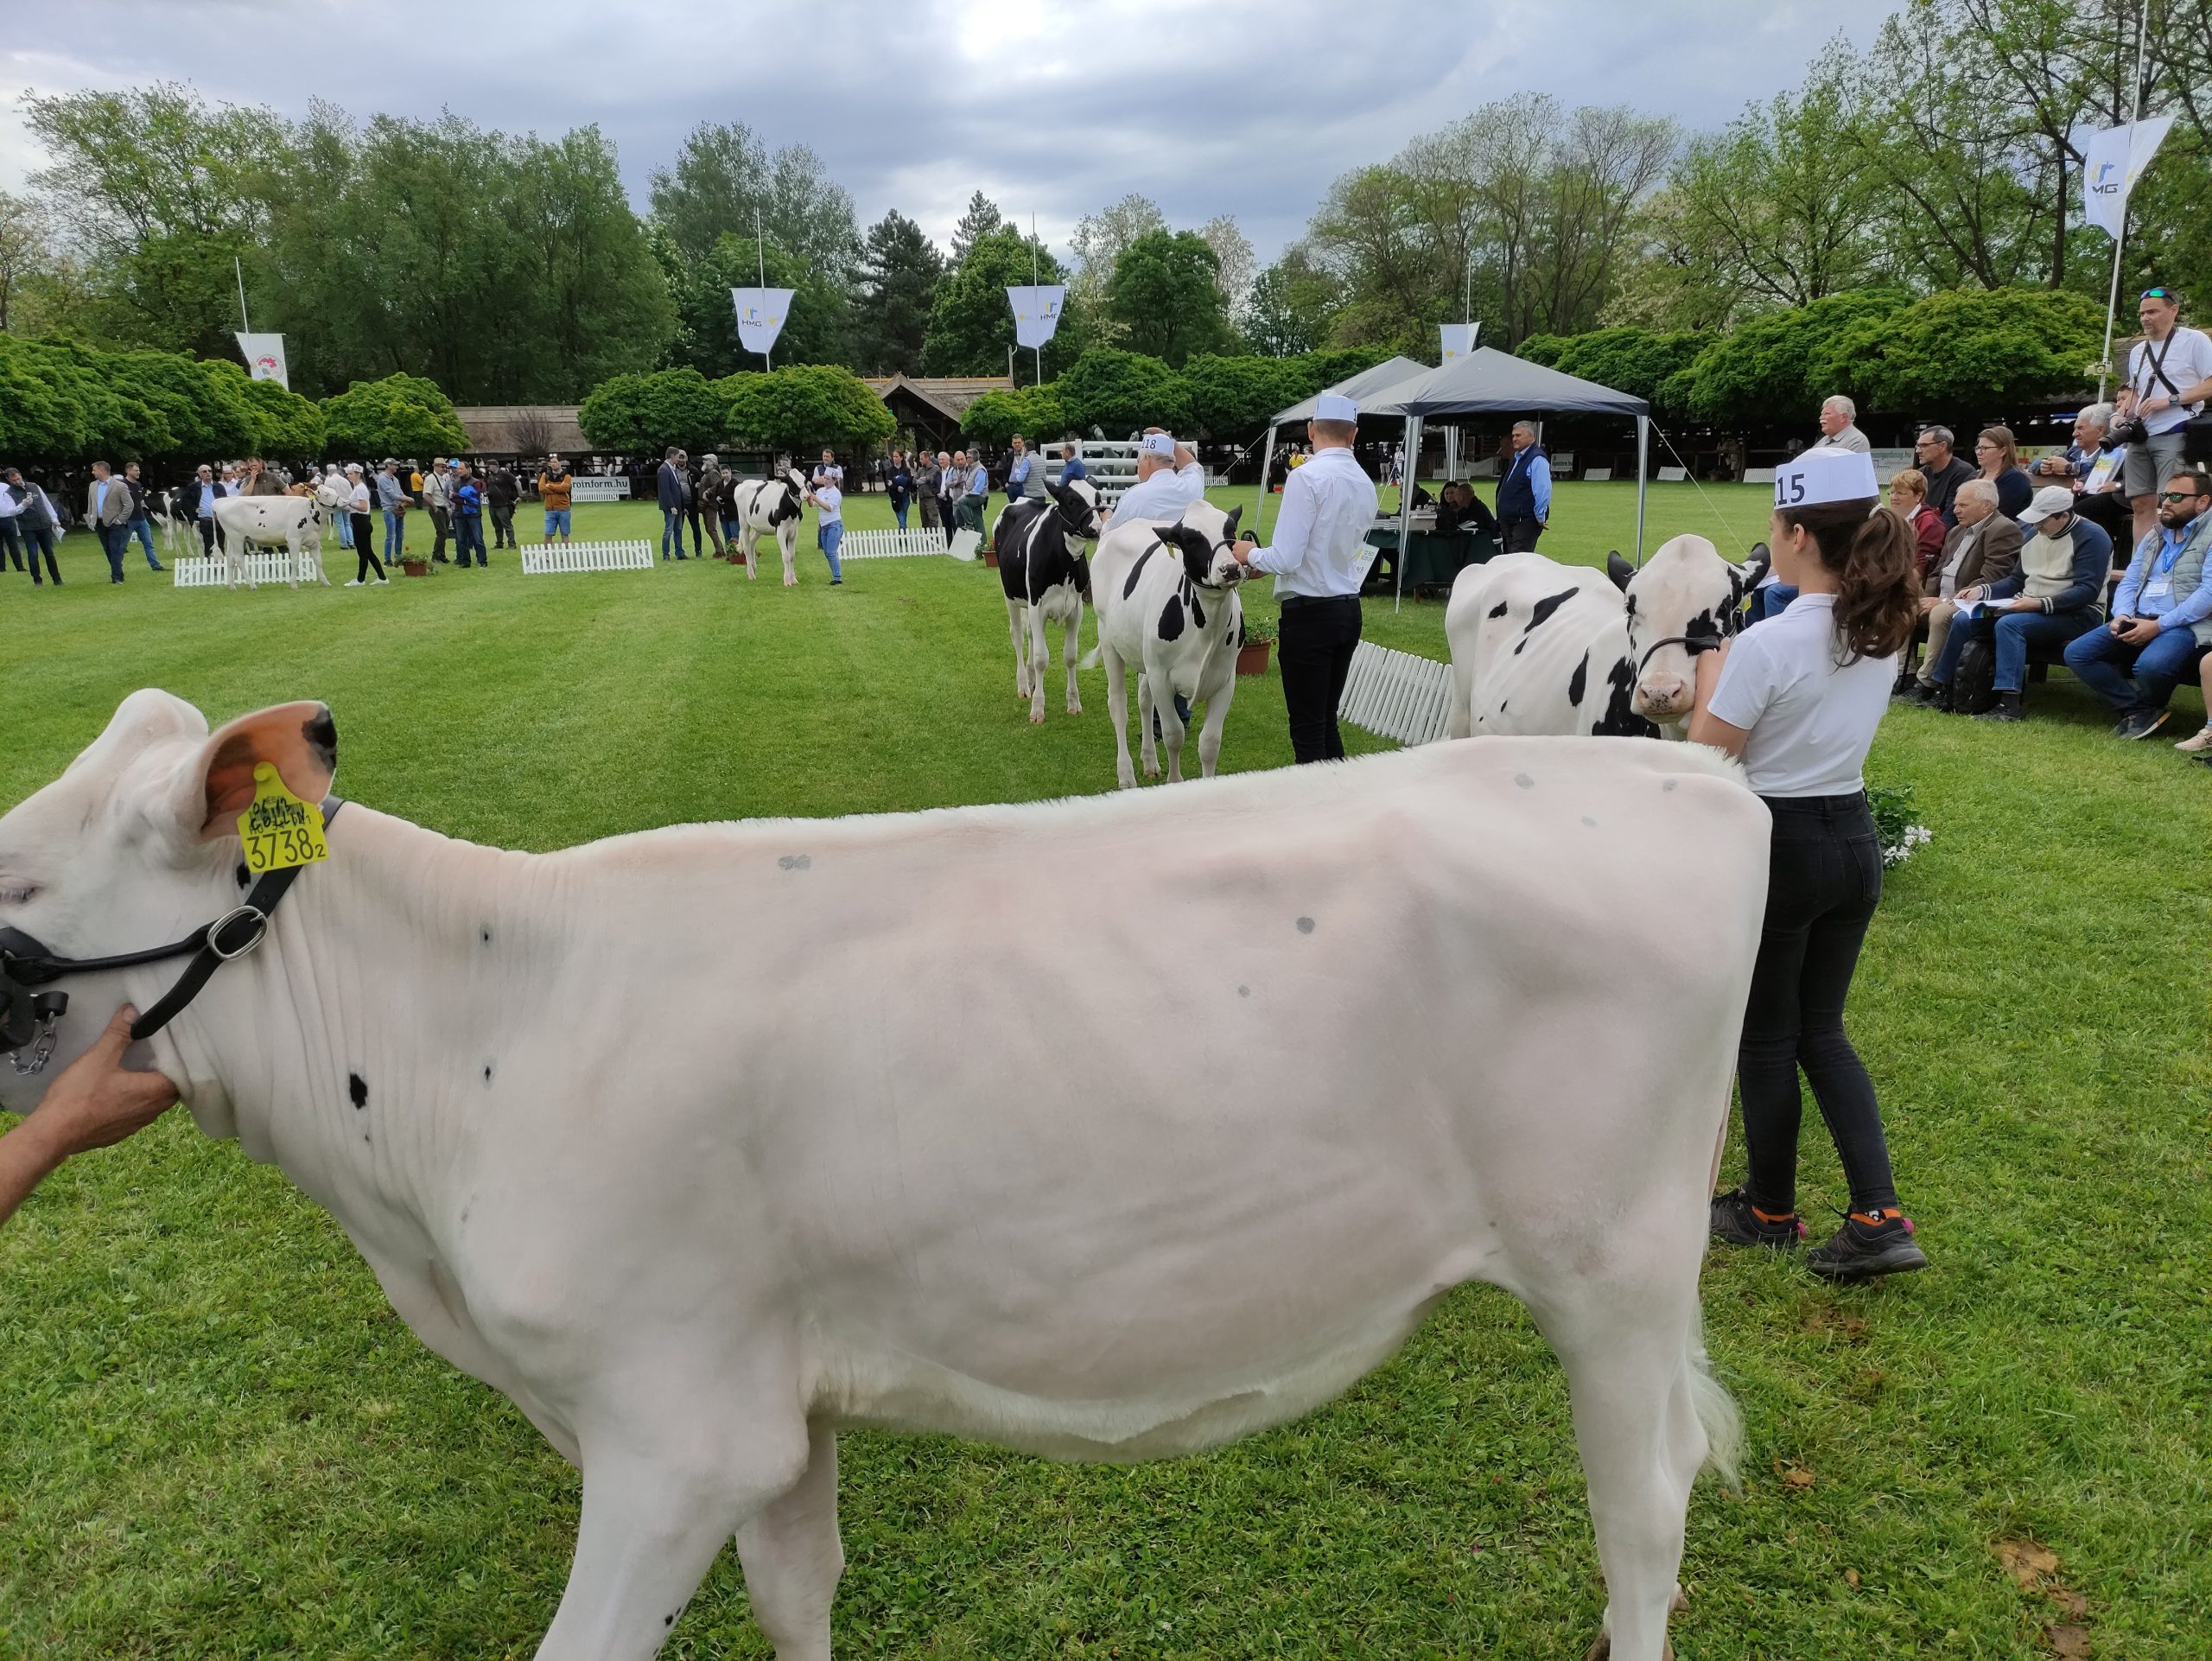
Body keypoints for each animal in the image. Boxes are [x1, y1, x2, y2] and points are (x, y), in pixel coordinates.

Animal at [0, 690, 1760, 1661]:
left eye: (12, 879)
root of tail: (1681, 773)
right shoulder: (774, 1415)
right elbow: (800, 1603)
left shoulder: (673, 1429)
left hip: (1612, 1267)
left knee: (1645, 1510)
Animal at [729, 471, 818, 588]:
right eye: (791, 483)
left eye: (804, 480)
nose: (807, 496)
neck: (791, 510)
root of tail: (743, 483)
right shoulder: (780, 531)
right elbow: (785, 556)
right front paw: (787, 581)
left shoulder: (794, 531)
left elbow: (791, 556)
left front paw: (794, 579)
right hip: (743, 521)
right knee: (747, 547)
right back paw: (751, 574)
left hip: (759, 527)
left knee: (752, 542)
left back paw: (754, 568)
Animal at [995, 473, 1096, 721]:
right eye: (1071, 501)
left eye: (1098, 497)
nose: (1097, 527)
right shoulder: (1037, 606)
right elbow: (1042, 658)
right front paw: (1037, 709)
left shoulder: (1076, 610)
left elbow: (1070, 656)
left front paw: (1073, 702)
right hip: (1010, 594)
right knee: (1018, 635)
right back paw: (1024, 685)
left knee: (1030, 634)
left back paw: (1031, 679)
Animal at [1084, 500, 1247, 787]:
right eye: (1190, 539)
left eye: (1231, 531)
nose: (1230, 569)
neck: (1207, 624)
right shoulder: (1161, 677)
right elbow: (1174, 734)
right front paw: (1175, 781)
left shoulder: (1226, 680)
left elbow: (1210, 743)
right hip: (1108, 640)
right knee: (1118, 706)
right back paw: (1126, 774)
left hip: (1144, 658)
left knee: (1144, 701)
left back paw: (1149, 761)